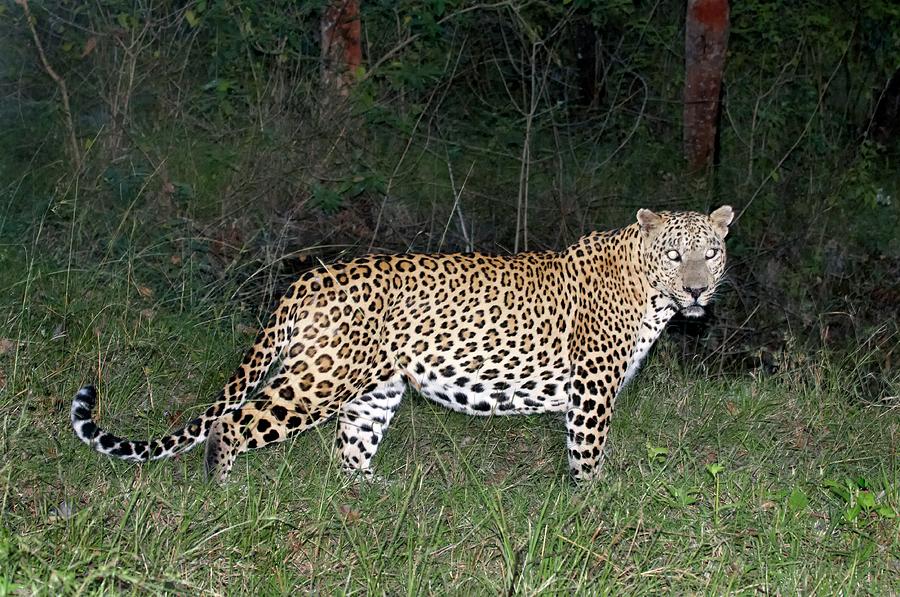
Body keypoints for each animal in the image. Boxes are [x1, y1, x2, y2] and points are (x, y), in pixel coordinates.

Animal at [71, 206, 734, 483]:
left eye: (711, 252)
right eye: (675, 254)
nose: (698, 290)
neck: (649, 290)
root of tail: (307, 279)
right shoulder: (592, 392)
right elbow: (587, 454)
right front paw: (590, 503)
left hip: (375, 390)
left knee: (350, 451)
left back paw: (372, 497)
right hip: (317, 381)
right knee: (232, 424)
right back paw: (221, 491)